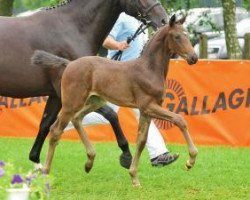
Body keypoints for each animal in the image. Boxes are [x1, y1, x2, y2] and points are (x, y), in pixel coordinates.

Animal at [32, 14, 198, 187]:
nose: (194, 58)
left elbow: (141, 141)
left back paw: (89, 162)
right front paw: (190, 161)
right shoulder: (148, 106)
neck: (149, 69)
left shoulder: (146, 111)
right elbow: (179, 120)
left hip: (95, 101)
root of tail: (69, 64)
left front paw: (134, 178)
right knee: (56, 129)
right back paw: (45, 171)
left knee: (77, 119)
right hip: (72, 103)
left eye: (187, 35)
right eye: (177, 36)